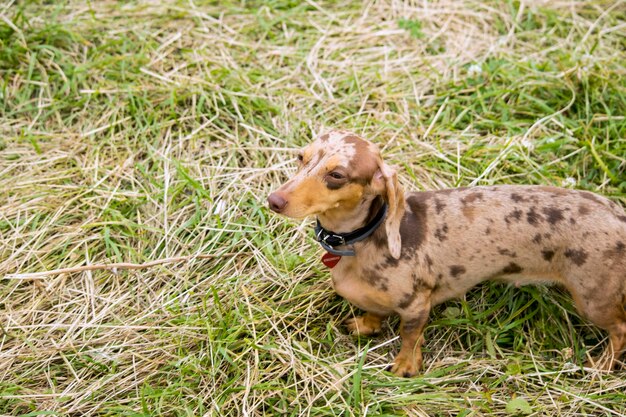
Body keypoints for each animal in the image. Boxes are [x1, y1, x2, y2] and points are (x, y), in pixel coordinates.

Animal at [266, 128, 624, 376]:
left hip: (593, 300)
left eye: (337, 175)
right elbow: (374, 313)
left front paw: (406, 366)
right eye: (301, 157)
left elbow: (409, 336)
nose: (274, 200)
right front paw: (366, 325)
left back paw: (602, 365)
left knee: (619, 330)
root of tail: (618, 214)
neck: (361, 242)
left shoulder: (416, 305)